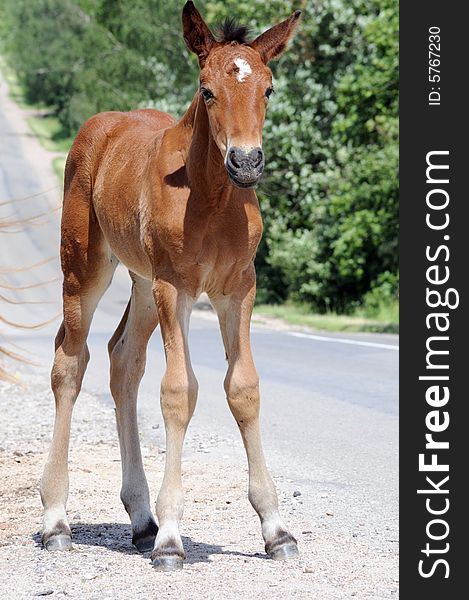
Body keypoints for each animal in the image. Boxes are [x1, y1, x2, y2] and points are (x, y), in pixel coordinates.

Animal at [42, 1, 302, 572]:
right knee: (70, 361)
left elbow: (243, 387)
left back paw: (140, 520)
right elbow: (179, 391)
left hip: (141, 282)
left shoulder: (238, 289)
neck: (211, 200)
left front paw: (276, 531)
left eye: (269, 89)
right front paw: (171, 540)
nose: (246, 162)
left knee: (122, 360)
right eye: (207, 91)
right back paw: (56, 520)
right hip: (88, 270)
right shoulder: (175, 288)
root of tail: (101, 125)